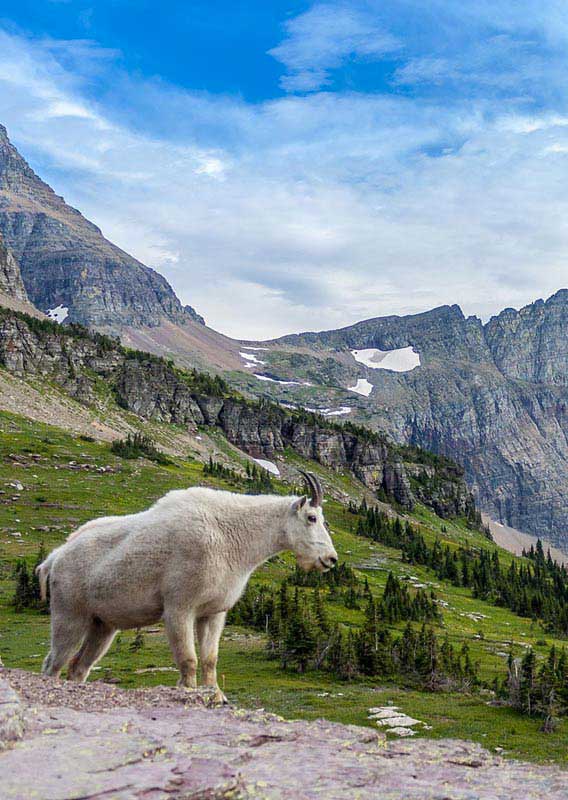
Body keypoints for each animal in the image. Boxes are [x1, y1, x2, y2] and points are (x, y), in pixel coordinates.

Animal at [37, 468, 338, 700]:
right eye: (311, 517)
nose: (330, 559)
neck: (231, 536)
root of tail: (54, 558)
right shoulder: (179, 607)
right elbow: (188, 659)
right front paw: (190, 693)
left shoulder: (213, 613)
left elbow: (209, 660)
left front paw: (216, 696)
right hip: (70, 615)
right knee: (53, 663)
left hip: (102, 625)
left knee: (79, 667)